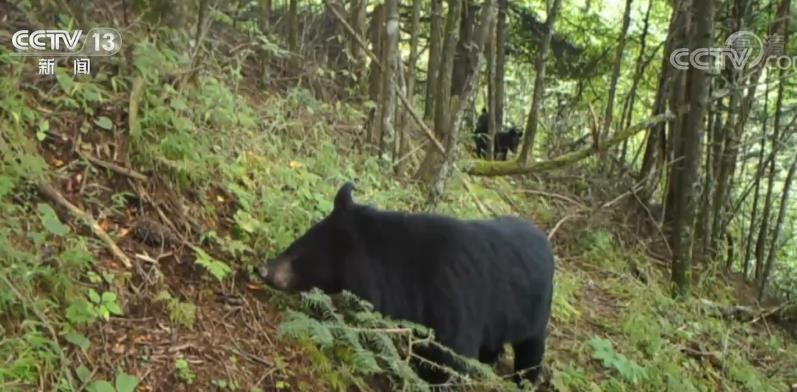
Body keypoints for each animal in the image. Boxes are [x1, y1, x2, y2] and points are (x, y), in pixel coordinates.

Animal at [256, 183, 552, 386]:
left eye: (298, 255)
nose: (263, 270)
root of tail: (546, 242)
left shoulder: (454, 301)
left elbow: (454, 358)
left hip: (534, 314)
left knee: (530, 352)